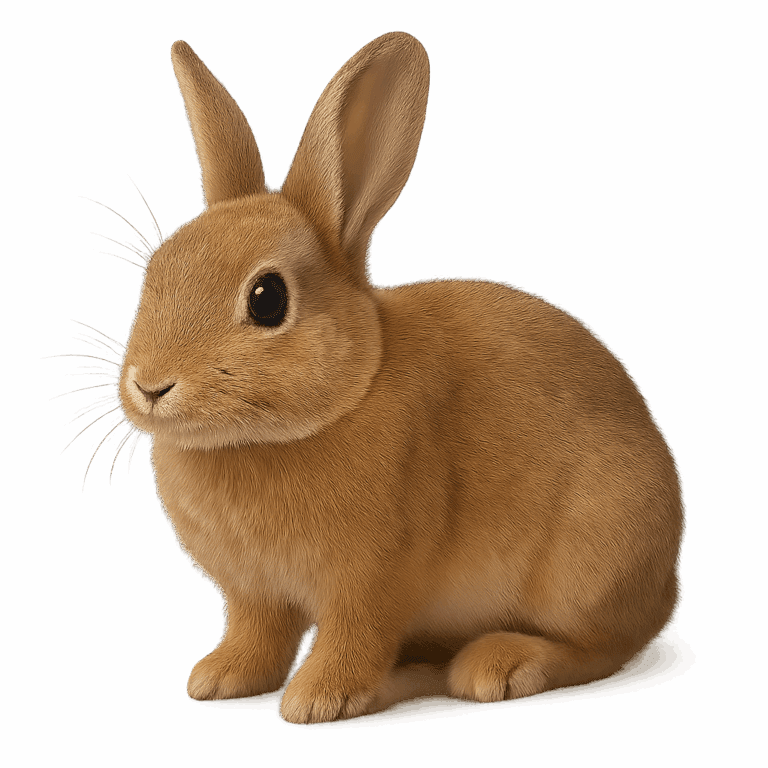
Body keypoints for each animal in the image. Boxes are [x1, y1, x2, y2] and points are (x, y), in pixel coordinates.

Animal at [115, 32, 684, 725]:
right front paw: (219, 678)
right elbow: (257, 634)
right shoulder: (255, 594)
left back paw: (498, 667)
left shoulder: (375, 578)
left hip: (587, 563)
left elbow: (354, 635)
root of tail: (671, 574)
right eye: (156, 268)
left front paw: (318, 699)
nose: (149, 384)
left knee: (607, 647)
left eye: (268, 298)